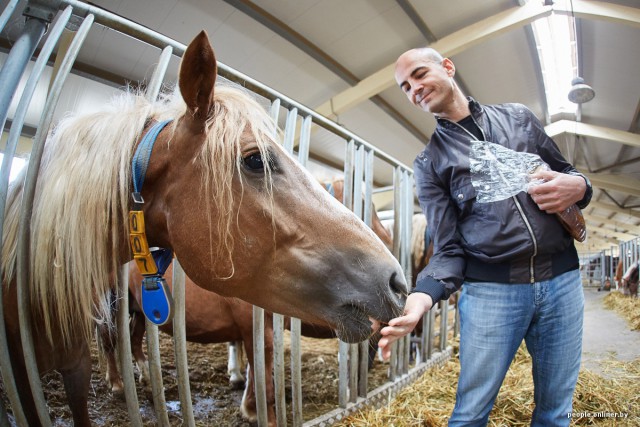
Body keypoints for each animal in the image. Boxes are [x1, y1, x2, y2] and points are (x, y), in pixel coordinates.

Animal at [1, 30, 404, 427]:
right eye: (255, 160)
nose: (397, 281)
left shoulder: (75, 366)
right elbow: (265, 376)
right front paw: (256, 408)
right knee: (112, 337)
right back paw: (119, 383)